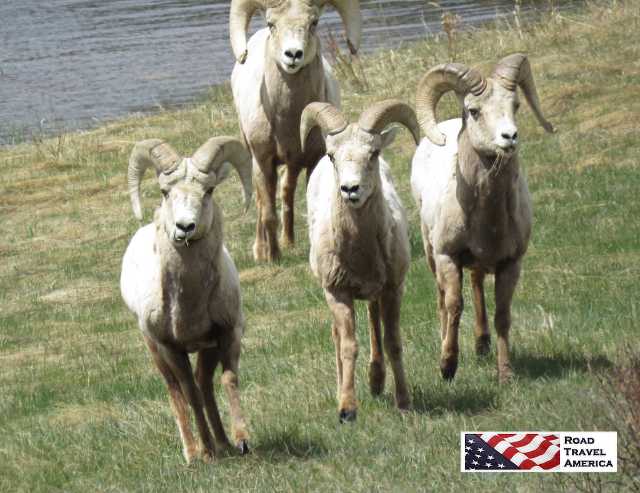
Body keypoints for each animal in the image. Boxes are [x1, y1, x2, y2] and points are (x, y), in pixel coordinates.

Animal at [120, 136, 253, 463]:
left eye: (209, 190)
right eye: (165, 192)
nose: (184, 227)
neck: (189, 303)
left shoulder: (227, 334)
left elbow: (228, 380)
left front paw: (242, 440)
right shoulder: (171, 348)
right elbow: (188, 391)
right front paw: (206, 452)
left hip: (206, 349)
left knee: (204, 383)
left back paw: (223, 443)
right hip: (154, 348)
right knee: (176, 390)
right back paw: (193, 453)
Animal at [230, 0, 361, 262]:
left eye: (314, 22)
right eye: (272, 23)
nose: (293, 55)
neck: (288, 122)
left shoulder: (312, 159)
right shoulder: (263, 161)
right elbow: (267, 212)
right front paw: (273, 258)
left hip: (293, 163)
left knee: (286, 190)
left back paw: (288, 242)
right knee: (263, 200)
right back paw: (261, 250)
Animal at [301, 99, 420, 421]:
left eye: (374, 153)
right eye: (333, 156)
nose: (350, 189)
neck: (360, 252)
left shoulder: (393, 289)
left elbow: (393, 342)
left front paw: (404, 403)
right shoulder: (338, 292)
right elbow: (348, 346)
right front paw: (346, 409)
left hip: (374, 292)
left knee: (374, 323)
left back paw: (377, 381)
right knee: (338, 336)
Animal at [410, 54, 555, 383]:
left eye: (515, 105)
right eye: (474, 111)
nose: (509, 137)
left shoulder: (511, 263)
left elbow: (503, 315)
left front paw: (506, 374)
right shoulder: (447, 257)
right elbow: (453, 306)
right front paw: (447, 367)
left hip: (477, 263)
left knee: (477, 287)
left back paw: (481, 345)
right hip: (430, 251)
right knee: (442, 299)